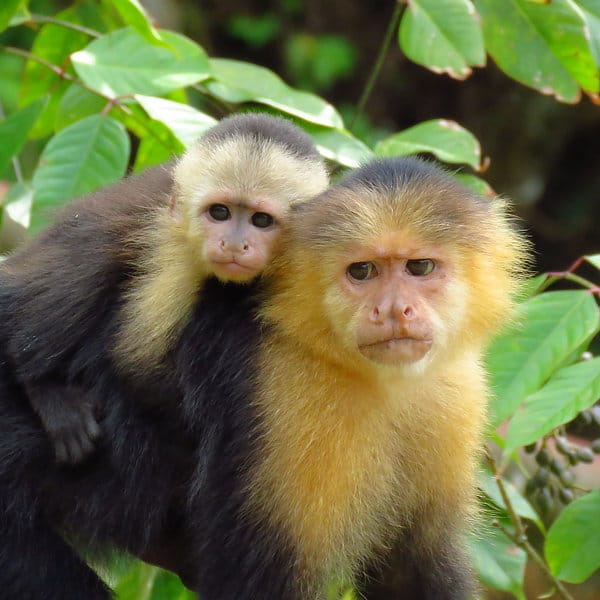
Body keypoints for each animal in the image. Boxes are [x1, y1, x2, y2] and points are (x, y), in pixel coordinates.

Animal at [0, 112, 328, 464]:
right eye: (220, 212)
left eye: (261, 220)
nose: (233, 245)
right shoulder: (173, 248)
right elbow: (137, 363)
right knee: (87, 255)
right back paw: (41, 384)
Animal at [0, 156, 524, 600]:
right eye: (362, 271)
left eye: (420, 267)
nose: (393, 310)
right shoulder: (286, 392)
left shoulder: (455, 392)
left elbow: (411, 569)